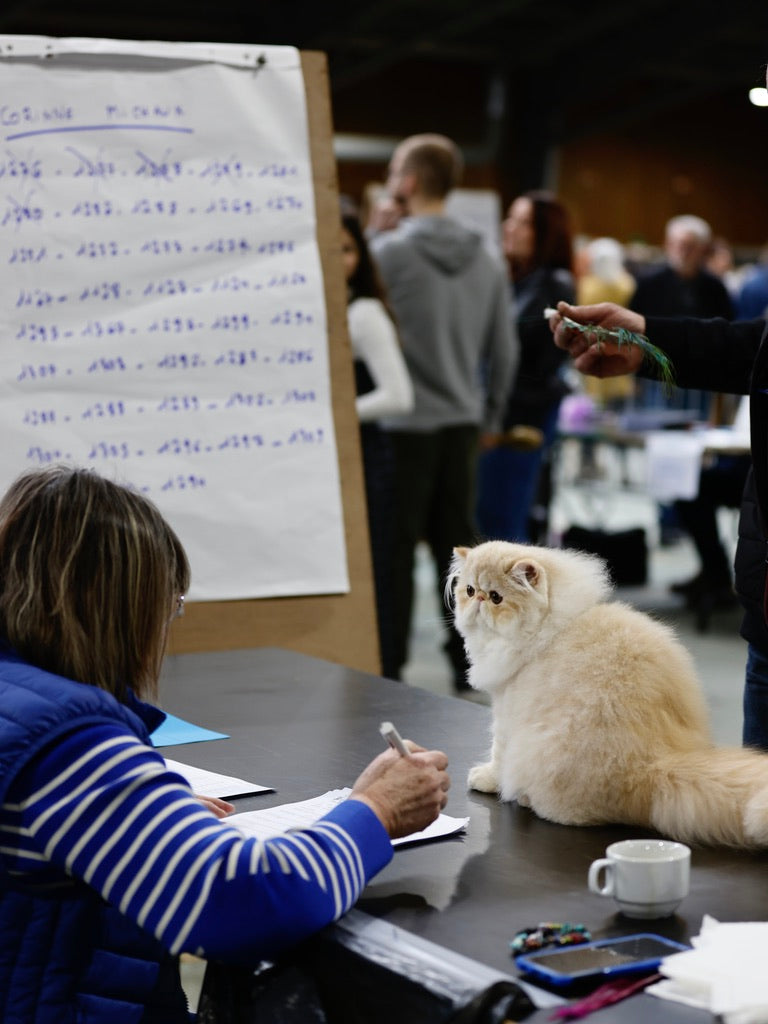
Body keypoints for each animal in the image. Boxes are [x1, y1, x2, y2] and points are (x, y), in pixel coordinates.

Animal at [450, 536, 768, 847]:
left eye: (496, 597)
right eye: (469, 590)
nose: (478, 599)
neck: (549, 629)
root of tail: (651, 767)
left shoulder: (506, 713)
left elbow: (497, 755)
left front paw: (484, 778)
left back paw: (527, 798)